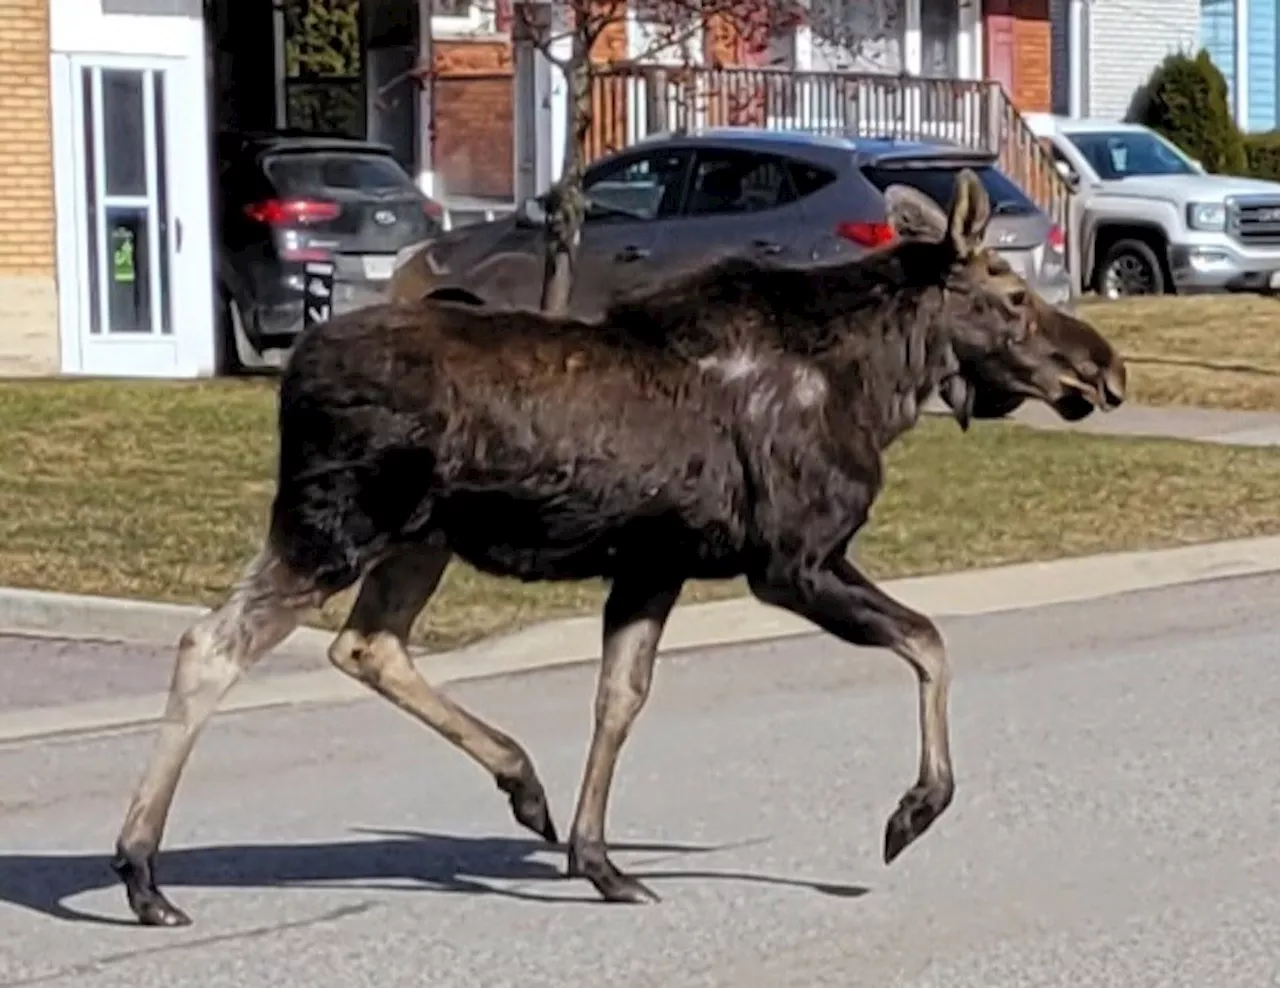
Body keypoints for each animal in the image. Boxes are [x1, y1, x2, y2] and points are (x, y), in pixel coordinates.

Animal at [115, 170, 1126, 926]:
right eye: (1011, 296)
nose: (1105, 368)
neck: (879, 388)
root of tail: (289, 369)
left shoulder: (653, 563)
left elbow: (619, 699)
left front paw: (596, 858)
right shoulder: (791, 562)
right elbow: (930, 641)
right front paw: (912, 812)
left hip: (417, 540)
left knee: (367, 645)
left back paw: (522, 782)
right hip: (335, 525)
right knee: (212, 645)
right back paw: (140, 873)